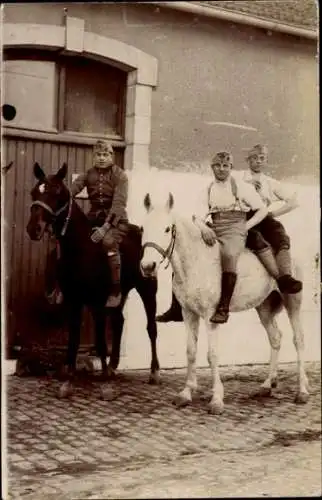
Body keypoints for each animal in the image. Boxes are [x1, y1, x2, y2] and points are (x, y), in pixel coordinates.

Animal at [26, 164, 160, 398]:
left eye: (57, 193)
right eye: (35, 193)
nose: (34, 228)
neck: (81, 249)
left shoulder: (97, 303)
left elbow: (100, 341)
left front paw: (105, 384)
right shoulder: (74, 300)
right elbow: (74, 338)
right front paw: (68, 381)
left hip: (147, 288)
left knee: (151, 327)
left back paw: (153, 372)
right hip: (119, 294)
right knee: (119, 321)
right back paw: (113, 367)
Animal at [140, 191, 310, 414]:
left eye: (167, 229)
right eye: (142, 228)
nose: (147, 266)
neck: (196, 261)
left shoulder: (210, 316)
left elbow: (212, 355)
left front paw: (216, 399)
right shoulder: (188, 313)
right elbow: (191, 352)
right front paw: (186, 393)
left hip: (293, 302)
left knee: (298, 340)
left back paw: (302, 391)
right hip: (263, 306)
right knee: (275, 338)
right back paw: (267, 385)